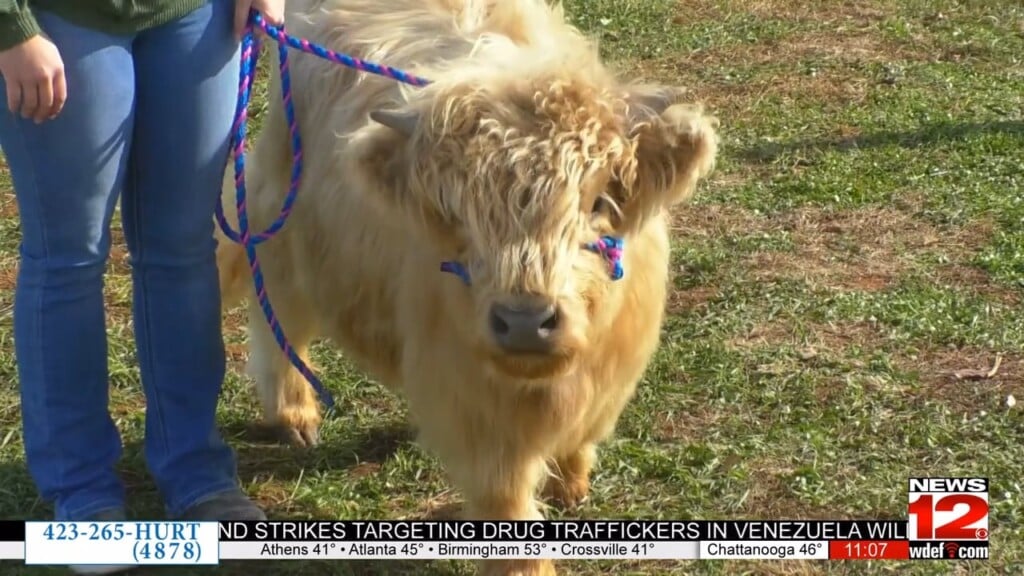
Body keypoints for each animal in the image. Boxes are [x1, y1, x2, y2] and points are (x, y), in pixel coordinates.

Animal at [215, 0, 718, 574]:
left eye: (597, 202)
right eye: (457, 210)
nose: (524, 322)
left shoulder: (611, 372)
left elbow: (583, 434)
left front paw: (571, 480)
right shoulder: (477, 408)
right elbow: (505, 497)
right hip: (284, 217)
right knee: (278, 310)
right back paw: (293, 412)